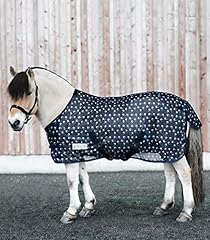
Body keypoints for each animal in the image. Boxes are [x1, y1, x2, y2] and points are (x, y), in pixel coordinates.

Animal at [7, 66, 204, 223]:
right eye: (11, 94)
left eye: (28, 92)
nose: (13, 122)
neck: (62, 108)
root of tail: (183, 104)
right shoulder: (79, 152)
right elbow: (83, 178)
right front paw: (88, 207)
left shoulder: (69, 154)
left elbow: (71, 181)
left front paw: (71, 212)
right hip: (167, 150)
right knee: (170, 174)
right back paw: (163, 207)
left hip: (172, 148)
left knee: (184, 173)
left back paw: (186, 212)